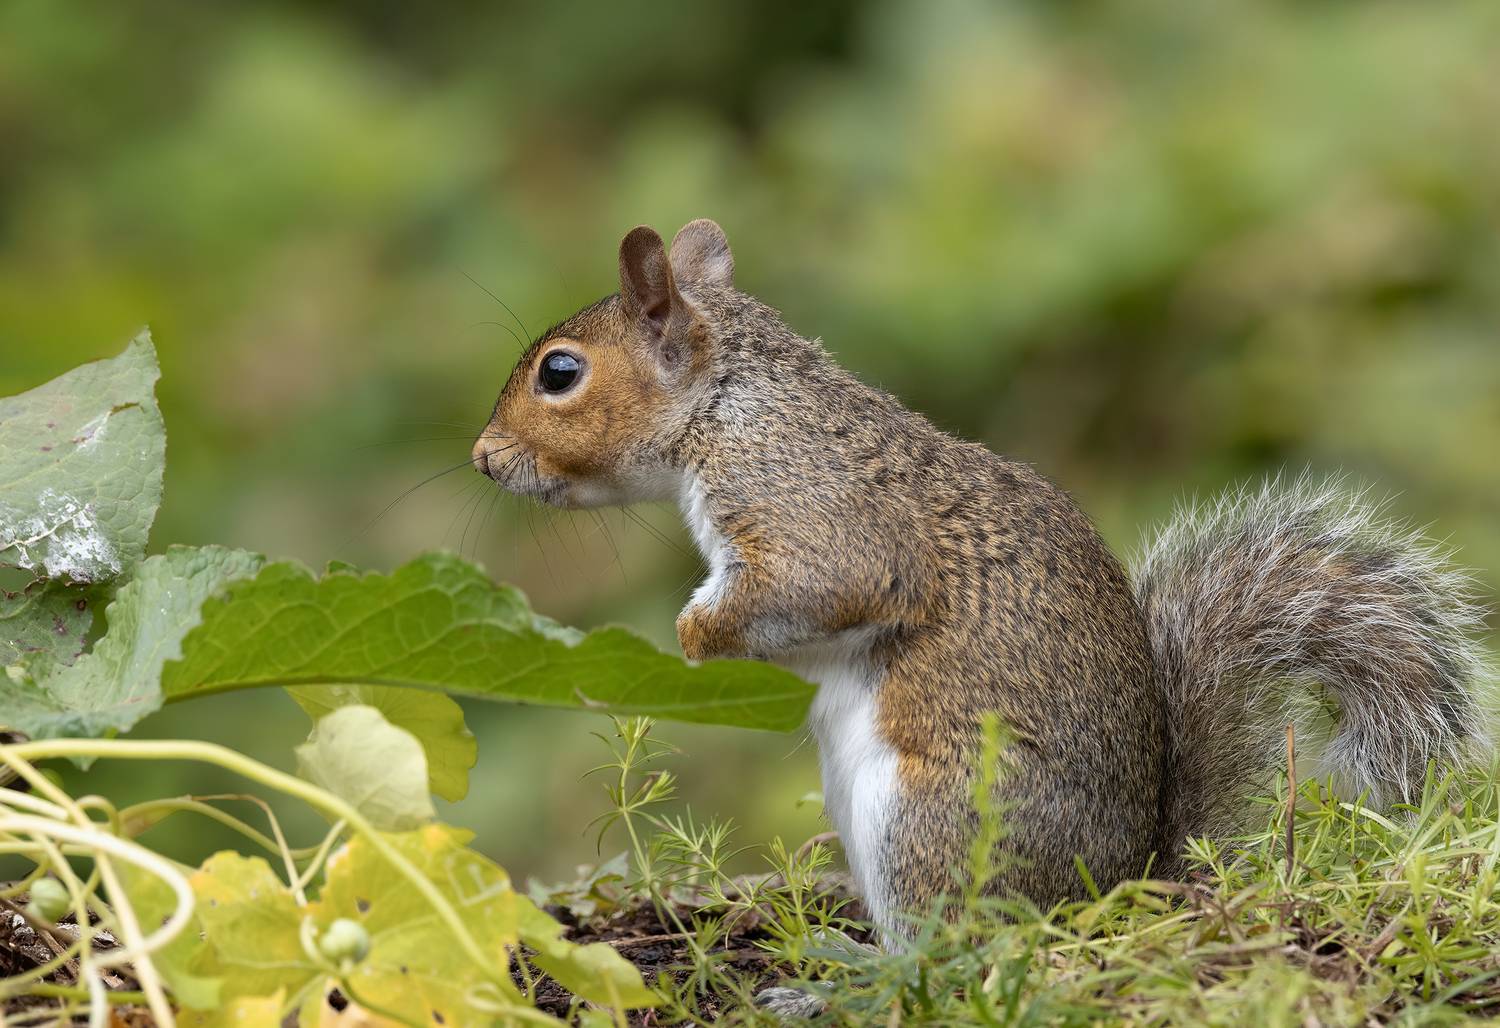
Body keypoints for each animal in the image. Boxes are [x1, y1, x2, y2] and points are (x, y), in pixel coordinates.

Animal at [472, 219, 1491, 941]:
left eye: (560, 373)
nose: (483, 458)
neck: (729, 404)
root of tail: (1117, 889)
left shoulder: (812, 510)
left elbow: (820, 586)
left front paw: (688, 640)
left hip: (936, 825)